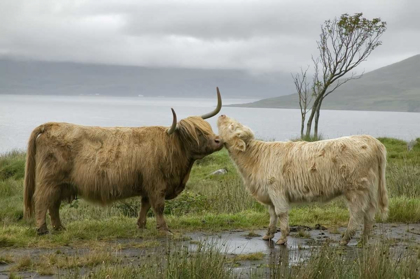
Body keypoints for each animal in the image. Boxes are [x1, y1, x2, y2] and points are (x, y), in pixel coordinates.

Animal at [23, 88, 223, 235]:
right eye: (197, 133)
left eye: (207, 128)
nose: (218, 140)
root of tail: (51, 125)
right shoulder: (156, 184)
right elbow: (158, 206)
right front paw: (164, 229)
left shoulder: (147, 184)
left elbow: (145, 205)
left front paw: (141, 225)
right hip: (50, 180)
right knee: (42, 200)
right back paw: (42, 229)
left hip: (61, 184)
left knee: (53, 204)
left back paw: (59, 228)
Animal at [218, 115, 388, 246]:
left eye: (232, 126)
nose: (222, 115)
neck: (255, 159)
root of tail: (372, 140)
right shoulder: (269, 193)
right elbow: (272, 215)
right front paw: (268, 235)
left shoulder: (276, 190)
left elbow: (281, 213)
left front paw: (282, 238)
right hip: (369, 189)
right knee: (370, 213)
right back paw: (363, 240)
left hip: (355, 189)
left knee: (357, 213)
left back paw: (345, 240)